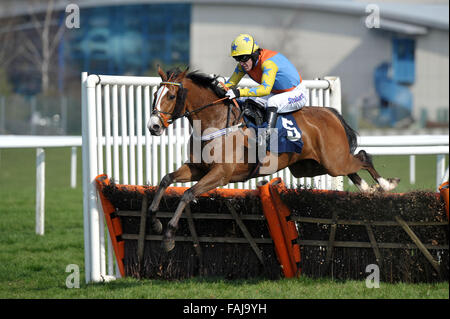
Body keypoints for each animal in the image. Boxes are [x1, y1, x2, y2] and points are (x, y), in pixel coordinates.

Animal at [146, 67, 400, 252]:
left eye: (171, 96)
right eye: (154, 96)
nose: (153, 126)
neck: (215, 122)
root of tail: (329, 112)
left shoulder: (220, 175)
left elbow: (188, 194)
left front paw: (169, 235)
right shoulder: (197, 168)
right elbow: (166, 179)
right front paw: (154, 220)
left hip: (333, 161)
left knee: (362, 157)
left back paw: (386, 185)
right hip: (312, 166)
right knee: (352, 167)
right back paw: (368, 190)